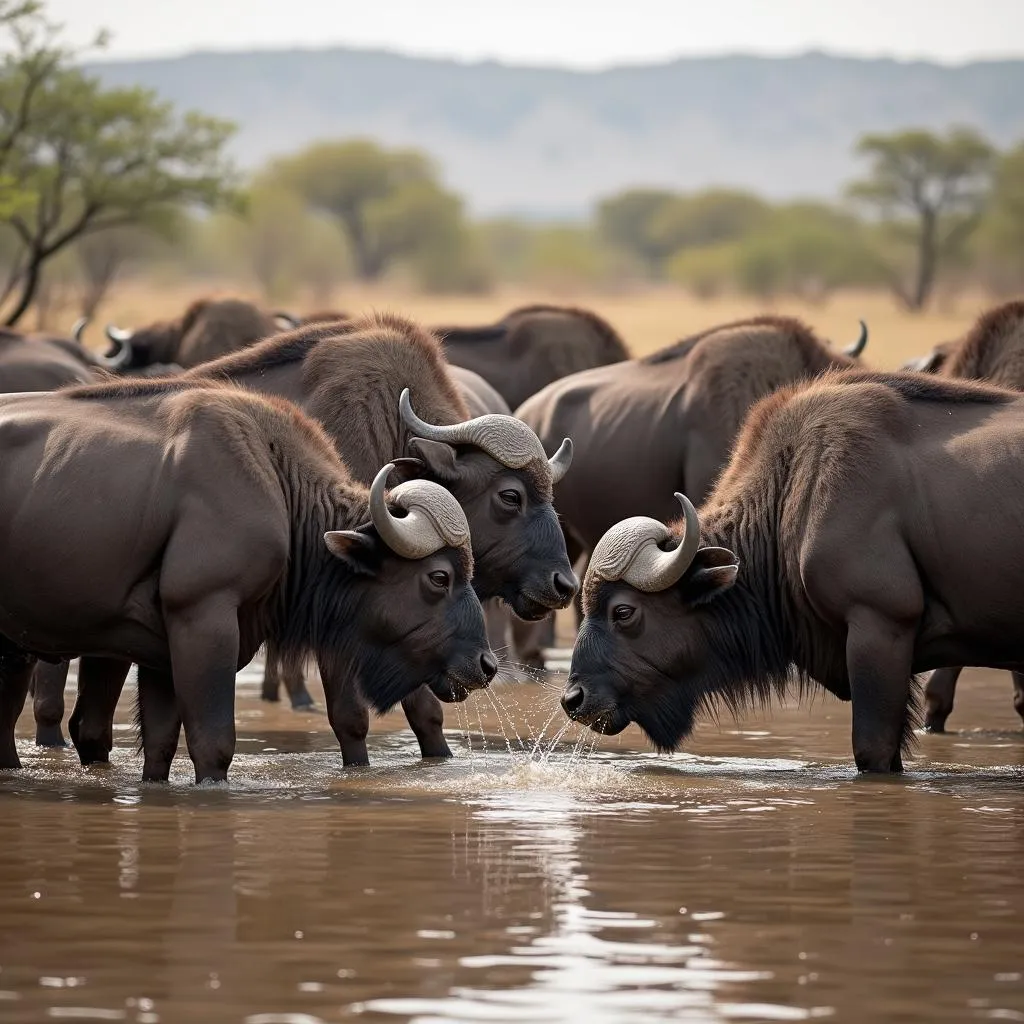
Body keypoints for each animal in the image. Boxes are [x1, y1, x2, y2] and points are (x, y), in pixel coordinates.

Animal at [0, 380, 495, 778]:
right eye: (439, 577)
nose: (487, 665)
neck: (276, 487)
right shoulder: (204, 622)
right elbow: (213, 744)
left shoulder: (159, 656)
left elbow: (160, 748)